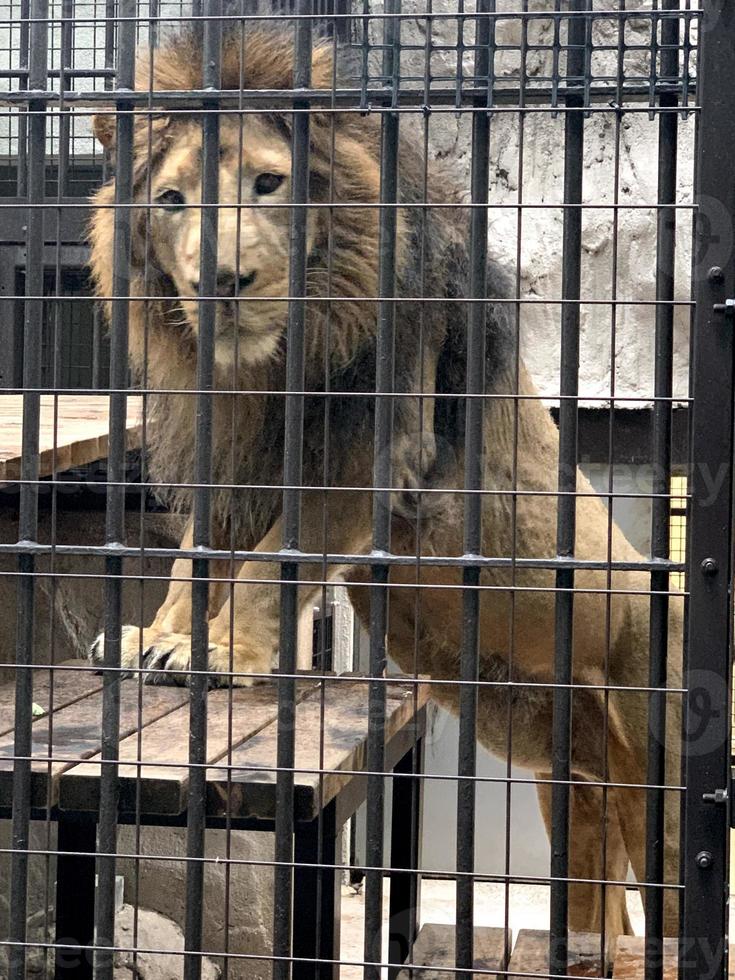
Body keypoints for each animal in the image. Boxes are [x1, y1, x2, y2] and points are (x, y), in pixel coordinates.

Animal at [89, 28, 688, 956]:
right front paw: (156, 640)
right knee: (595, 870)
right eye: (172, 200)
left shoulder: (377, 457)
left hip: (655, 767)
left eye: (269, 183)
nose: (219, 283)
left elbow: (267, 566)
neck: (277, 361)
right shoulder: (237, 455)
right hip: (543, 745)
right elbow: (198, 562)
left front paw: (215, 655)